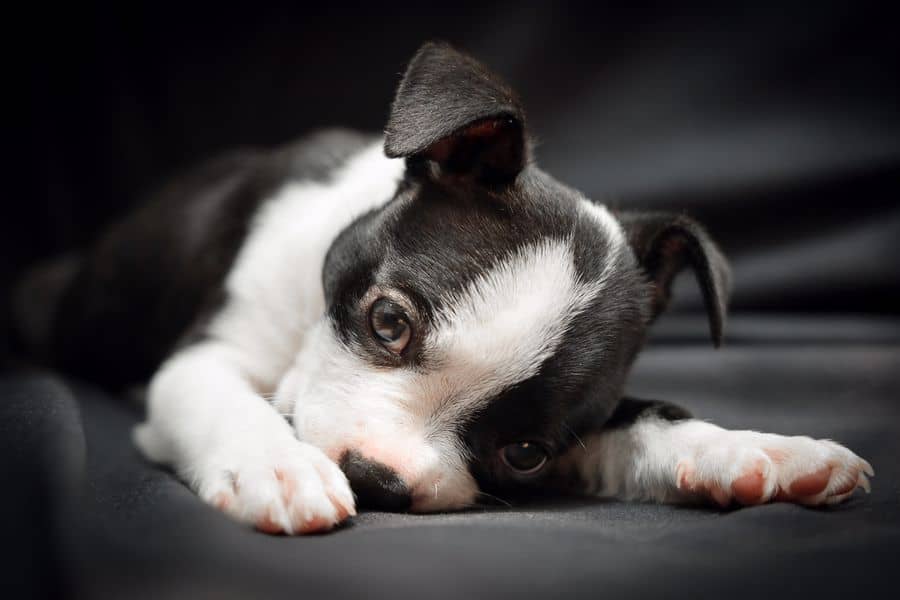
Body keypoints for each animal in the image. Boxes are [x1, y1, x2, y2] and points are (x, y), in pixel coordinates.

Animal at [14, 42, 872, 536]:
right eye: (388, 322)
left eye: (523, 454)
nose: (377, 480)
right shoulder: (204, 357)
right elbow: (227, 400)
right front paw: (278, 466)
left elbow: (653, 419)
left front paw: (760, 449)